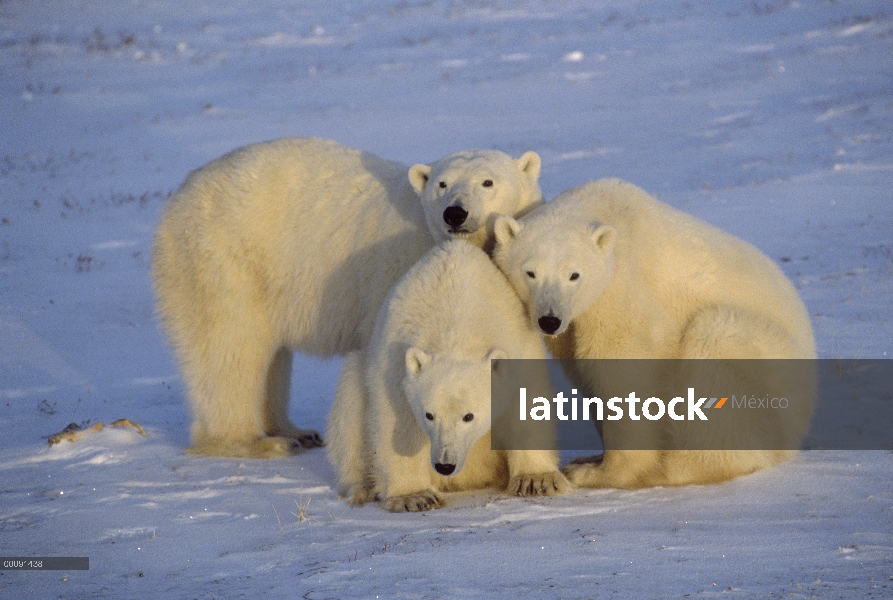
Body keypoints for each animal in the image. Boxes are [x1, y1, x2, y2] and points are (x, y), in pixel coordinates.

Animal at [153, 136, 540, 458]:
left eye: (488, 182)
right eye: (442, 184)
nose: (455, 213)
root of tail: (178, 198)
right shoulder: (395, 270)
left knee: (269, 355)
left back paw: (295, 431)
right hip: (222, 258)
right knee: (229, 347)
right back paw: (255, 441)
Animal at [324, 239, 568, 510]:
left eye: (469, 416)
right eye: (429, 415)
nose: (445, 465)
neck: (455, 317)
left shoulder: (517, 345)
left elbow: (527, 406)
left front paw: (536, 480)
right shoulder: (395, 361)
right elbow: (398, 422)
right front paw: (414, 496)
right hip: (357, 376)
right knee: (349, 408)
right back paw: (362, 489)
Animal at [492, 178, 820, 488]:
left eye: (574, 275)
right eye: (530, 272)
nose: (549, 320)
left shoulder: (623, 290)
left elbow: (626, 370)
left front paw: (599, 473)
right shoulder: (575, 323)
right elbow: (586, 373)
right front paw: (593, 458)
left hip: (771, 369)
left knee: (714, 341)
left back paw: (670, 468)